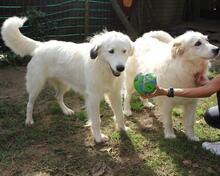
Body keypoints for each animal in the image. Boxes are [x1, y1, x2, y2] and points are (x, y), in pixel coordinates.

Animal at [1, 16, 134, 143]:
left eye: (124, 51)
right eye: (111, 51)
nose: (121, 68)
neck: (103, 68)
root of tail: (41, 45)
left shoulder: (115, 94)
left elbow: (120, 114)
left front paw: (123, 129)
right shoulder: (93, 98)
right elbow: (96, 120)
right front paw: (98, 138)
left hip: (64, 85)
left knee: (57, 96)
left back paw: (66, 111)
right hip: (36, 86)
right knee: (29, 103)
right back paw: (29, 120)